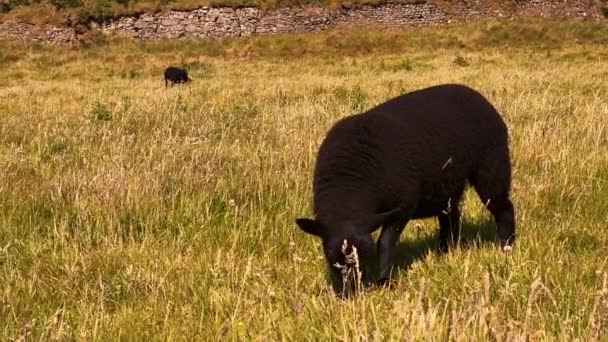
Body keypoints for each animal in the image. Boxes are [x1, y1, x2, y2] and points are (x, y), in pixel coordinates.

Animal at [296, 83, 516, 294]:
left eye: (366, 256)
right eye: (330, 257)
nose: (353, 291)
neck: (348, 185)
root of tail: (479, 97)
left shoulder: (402, 207)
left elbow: (385, 243)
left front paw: (385, 281)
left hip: (492, 168)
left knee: (503, 208)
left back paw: (506, 246)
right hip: (446, 185)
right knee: (450, 218)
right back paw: (446, 251)